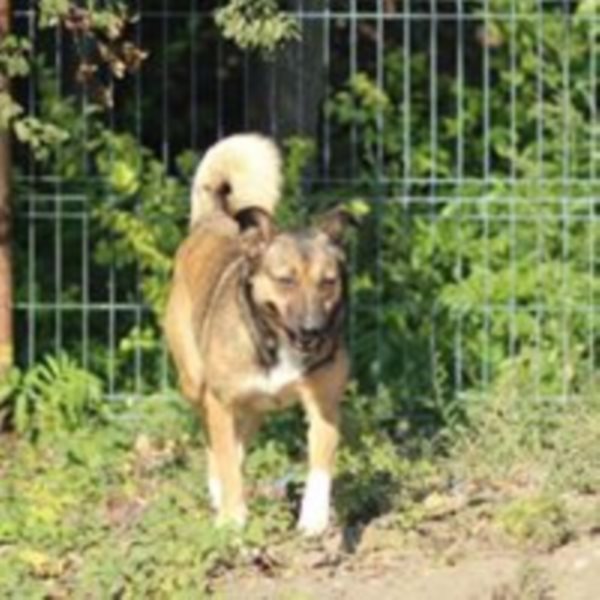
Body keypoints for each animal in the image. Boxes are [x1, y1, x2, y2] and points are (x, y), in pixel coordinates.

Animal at [164, 133, 355, 536]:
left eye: (328, 282)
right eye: (285, 280)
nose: (313, 330)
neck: (276, 341)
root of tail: (212, 217)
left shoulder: (324, 405)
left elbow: (320, 463)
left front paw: (314, 518)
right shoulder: (220, 401)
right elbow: (223, 456)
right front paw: (232, 517)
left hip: (253, 409)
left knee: (237, 446)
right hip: (195, 383)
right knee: (214, 443)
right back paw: (219, 492)